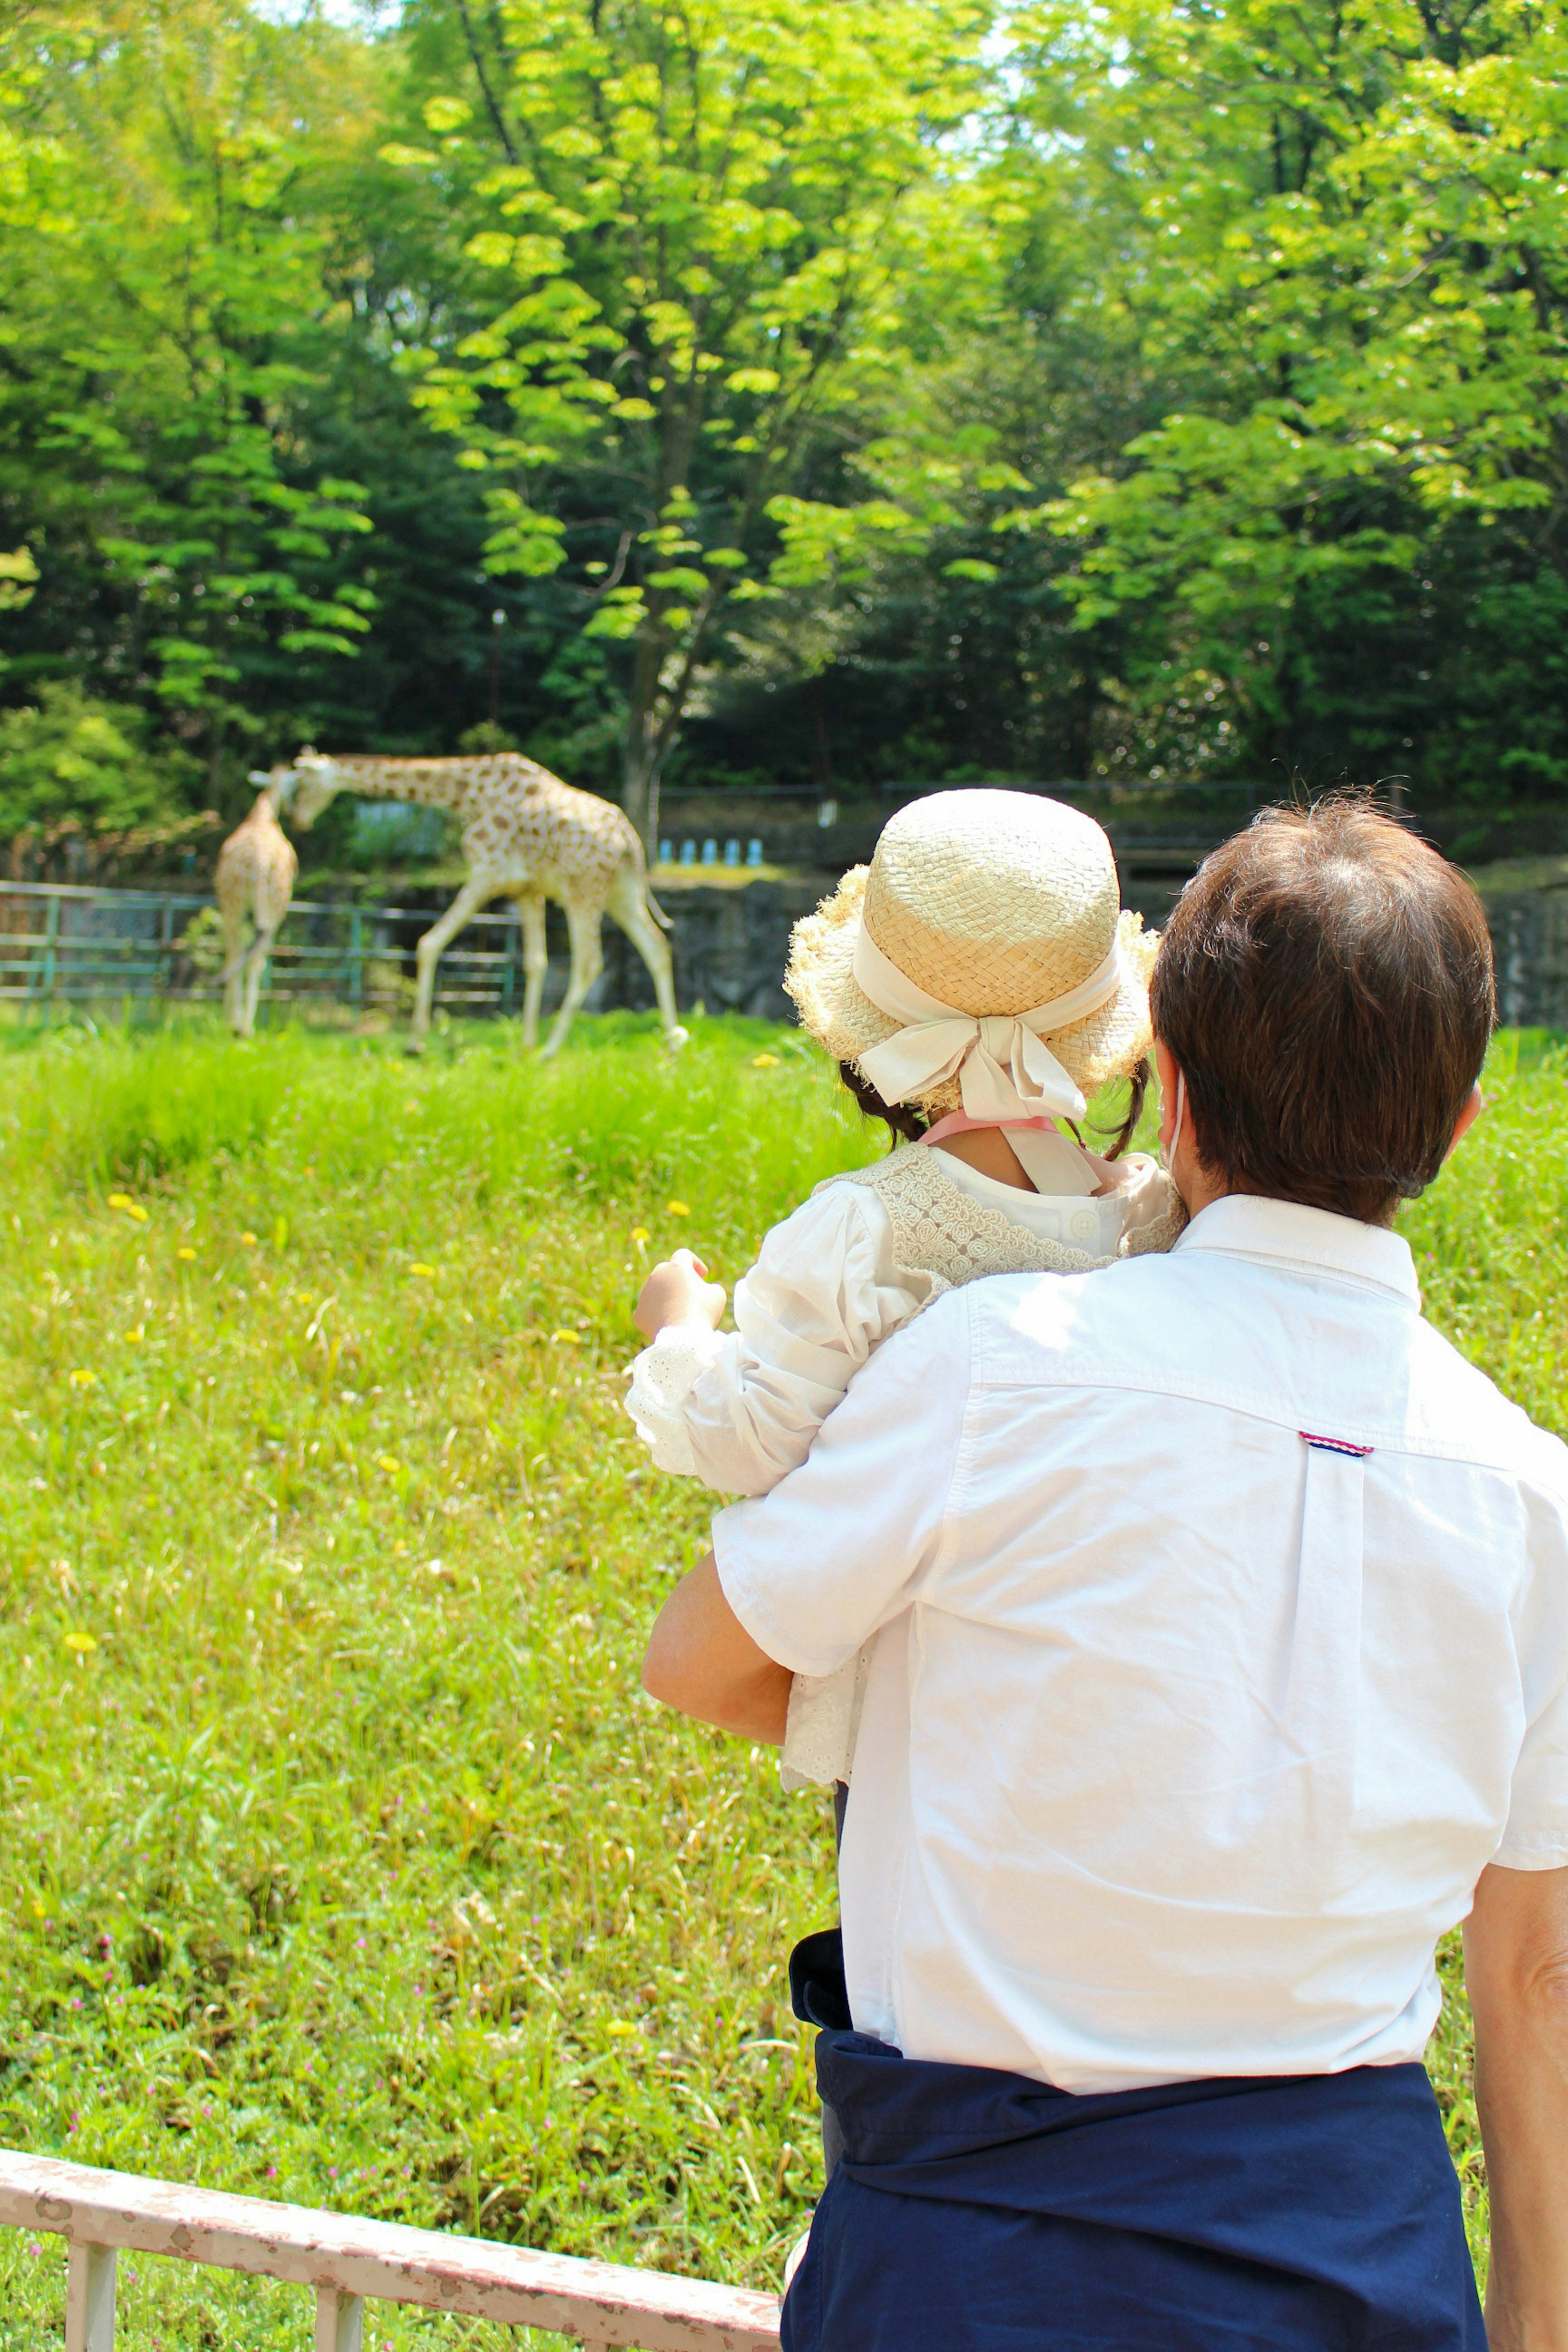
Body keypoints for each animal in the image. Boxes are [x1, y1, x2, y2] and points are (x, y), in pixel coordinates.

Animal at [215, 785, 297, 1035]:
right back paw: (243, 1026)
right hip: (268, 909)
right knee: (252, 957)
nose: (292, 808)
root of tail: (261, 862)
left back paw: (241, 1026)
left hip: (240, 907)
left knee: (242, 955)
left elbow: (234, 956)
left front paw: (231, 1020)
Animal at [265, 743, 686, 1058]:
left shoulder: (485, 874)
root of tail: (631, 841)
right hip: (621, 894)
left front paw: (415, 1043)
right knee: (657, 947)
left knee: (590, 961)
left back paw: (552, 1050)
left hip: (583, 891)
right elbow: (535, 963)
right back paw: (670, 1044)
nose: (299, 820)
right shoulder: (526, 889)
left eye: (303, 782)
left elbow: (428, 943)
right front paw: (524, 1045)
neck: (468, 792)